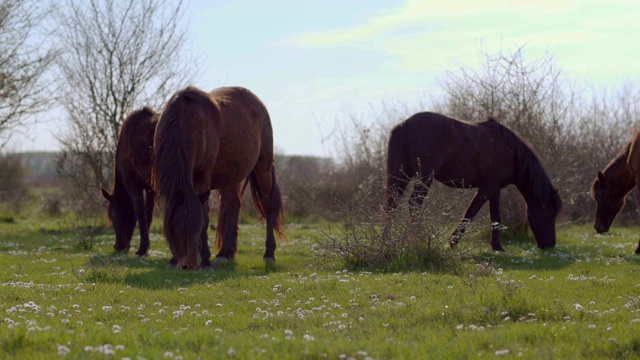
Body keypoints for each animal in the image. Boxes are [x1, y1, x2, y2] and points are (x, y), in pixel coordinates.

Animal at [102, 107, 159, 256]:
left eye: (113, 216)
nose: (118, 246)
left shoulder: (132, 183)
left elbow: (140, 213)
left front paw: (142, 248)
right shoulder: (151, 187)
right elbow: (148, 214)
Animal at [154, 86, 284, 268]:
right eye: (172, 232)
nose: (187, 265)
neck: (184, 122)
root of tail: (258, 103)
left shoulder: (202, 179)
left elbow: (205, 219)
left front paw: (205, 262)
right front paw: (174, 261)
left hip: (263, 167)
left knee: (268, 204)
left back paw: (269, 254)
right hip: (230, 176)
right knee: (233, 205)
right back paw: (224, 253)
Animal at [384, 112, 560, 250]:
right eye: (550, 214)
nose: (550, 244)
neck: (511, 151)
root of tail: (405, 124)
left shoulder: (495, 189)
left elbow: (495, 216)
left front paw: (497, 247)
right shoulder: (487, 188)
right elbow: (471, 212)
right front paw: (453, 242)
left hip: (400, 175)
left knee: (391, 203)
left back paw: (387, 241)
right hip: (424, 177)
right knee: (414, 203)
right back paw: (414, 239)